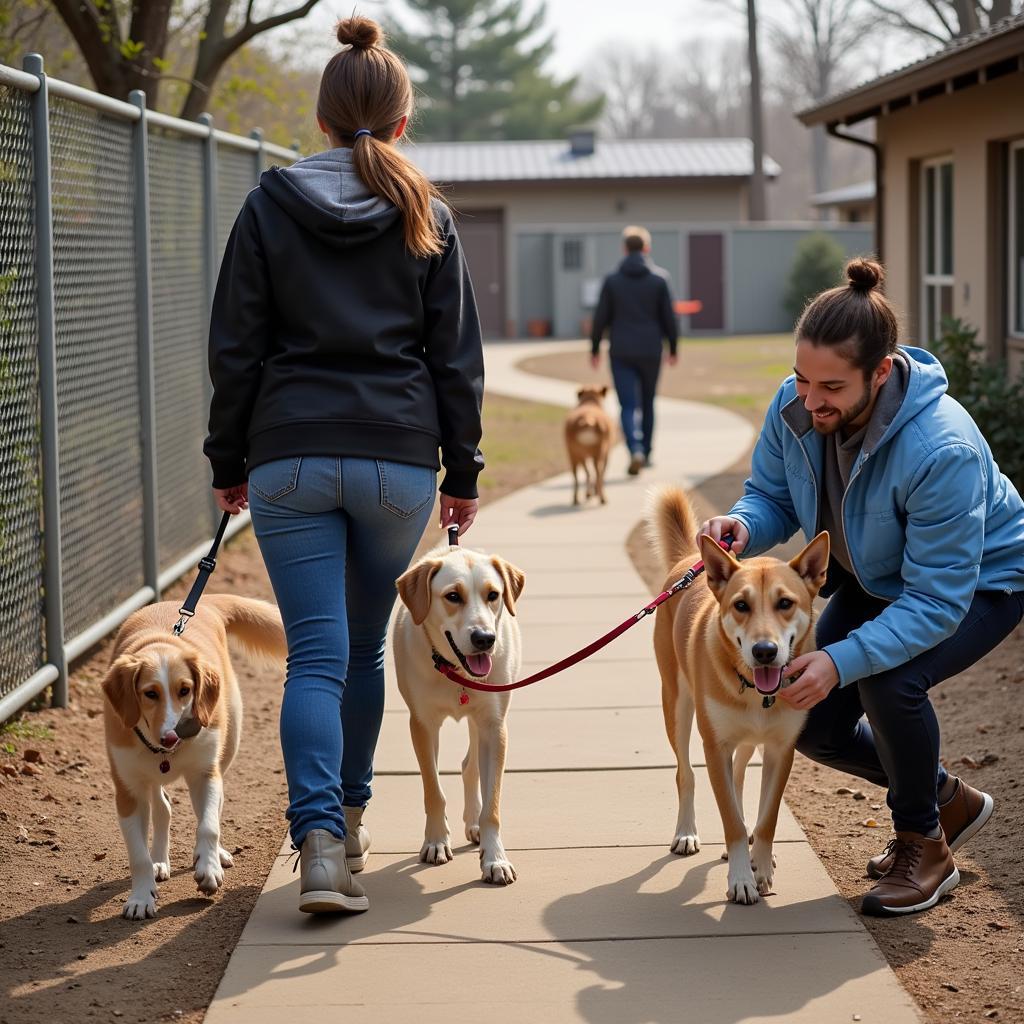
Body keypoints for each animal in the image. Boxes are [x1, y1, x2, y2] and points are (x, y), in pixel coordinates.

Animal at [102, 593, 286, 921]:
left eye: (185, 690)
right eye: (150, 693)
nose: (171, 736)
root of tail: (207, 602)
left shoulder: (204, 774)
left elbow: (208, 825)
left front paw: (208, 867)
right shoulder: (128, 792)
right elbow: (137, 855)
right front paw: (141, 896)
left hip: (228, 745)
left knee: (213, 806)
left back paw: (216, 854)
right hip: (147, 780)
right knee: (162, 807)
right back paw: (159, 861)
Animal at [393, 544, 528, 888]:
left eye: (493, 595)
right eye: (452, 596)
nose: (485, 639)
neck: (455, 671)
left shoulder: (494, 726)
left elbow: (492, 804)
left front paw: (495, 859)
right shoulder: (422, 724)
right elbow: (433, 791)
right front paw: (436, 841)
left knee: (471, 767)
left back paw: (475, 823)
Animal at [647, 487, 831, 905]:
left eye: (785, 603)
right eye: (741, 605)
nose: (764, 651)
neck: (756, 692)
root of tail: (690, 560)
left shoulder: (781, 750)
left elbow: (768, 817)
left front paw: (760, 867)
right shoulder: (715, 747)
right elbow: (728, 816)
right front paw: (741, 879)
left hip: (746, 742)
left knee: (740, 775)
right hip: (676, 708)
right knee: (686, 774)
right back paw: (687, 833)